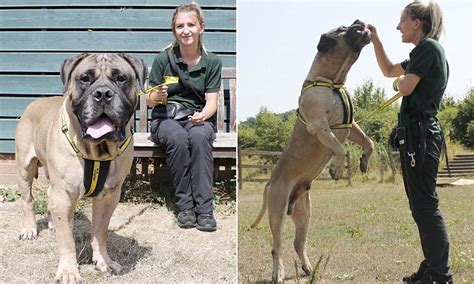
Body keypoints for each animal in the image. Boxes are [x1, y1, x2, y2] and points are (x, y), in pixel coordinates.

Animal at [250, 20, 376, 282]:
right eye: (342, 28)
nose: (360, 22)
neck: (332, 81)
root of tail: (270, 183)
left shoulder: (352, 125)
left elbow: (368, 140)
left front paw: (364, 160)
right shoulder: (319, 125)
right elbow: (338, 147)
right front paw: (337, 167)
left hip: (304, 213)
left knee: (298, 243)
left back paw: (309, 268)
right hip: (277, 211)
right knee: (277, 246)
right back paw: (278, 273)